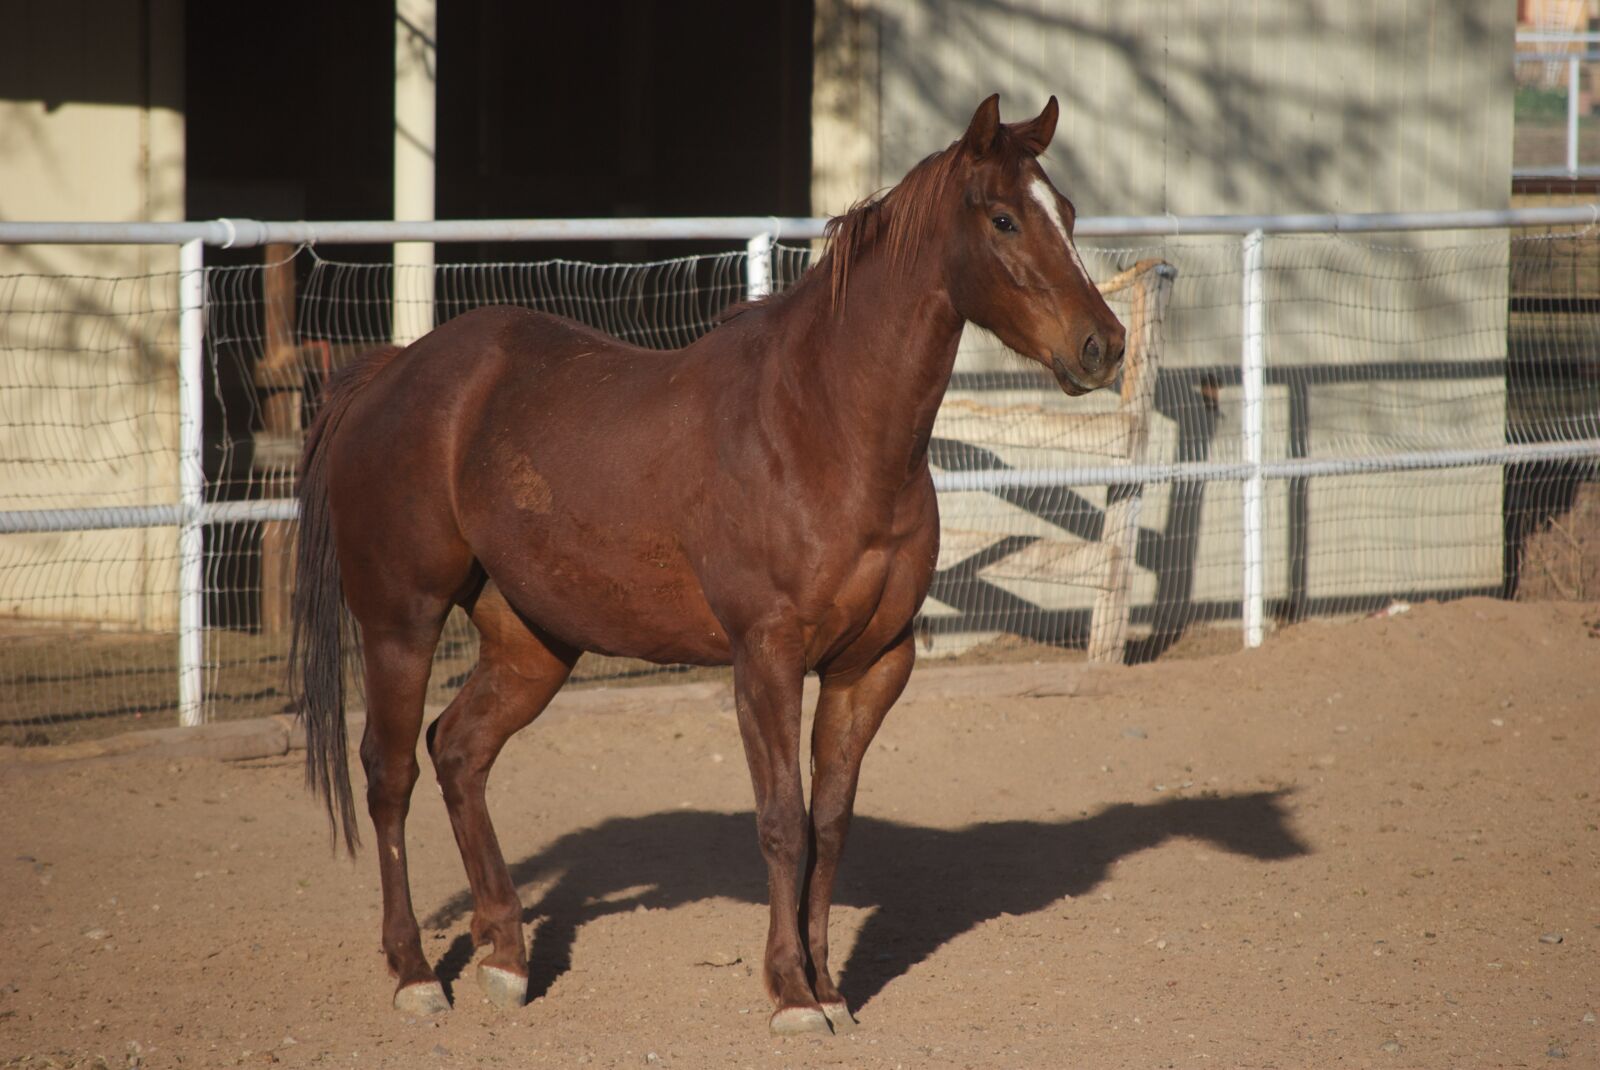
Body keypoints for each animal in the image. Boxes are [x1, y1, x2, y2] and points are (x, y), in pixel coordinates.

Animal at [297, 95, 1126, 1030]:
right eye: (1004, 218)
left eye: (1068, 213)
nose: (1103, 345)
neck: (822, 425)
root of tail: (393, 370)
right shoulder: (765, 656)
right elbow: (781, 820)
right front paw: (791, 995)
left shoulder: (872, 663)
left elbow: (830, 824)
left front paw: (831, 989)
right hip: (400, 622)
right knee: (390, 774)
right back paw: (413, 974)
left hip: (532, 642)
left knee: (460, 752)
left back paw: (506, 957)